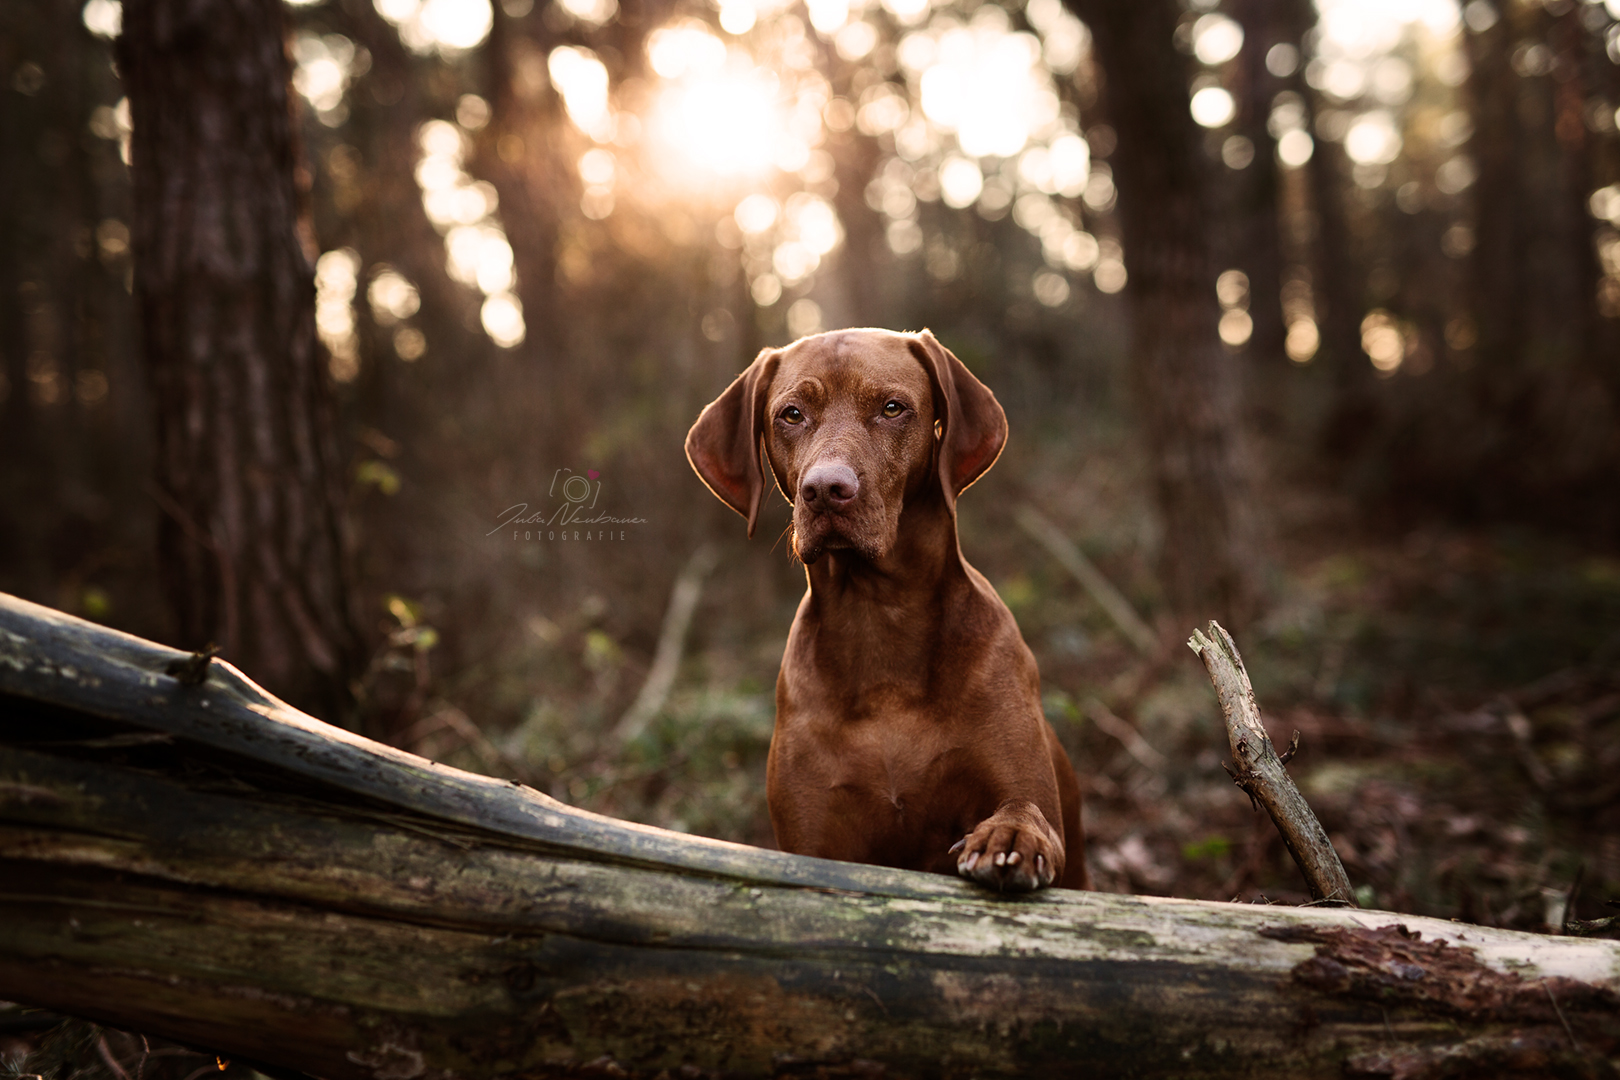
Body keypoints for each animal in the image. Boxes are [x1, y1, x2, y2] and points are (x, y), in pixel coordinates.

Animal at [683, 330, 1088, 893]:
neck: (880, 619)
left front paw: (1010, 836)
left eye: (893, 408)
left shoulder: (1027, 789)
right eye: (791, 414)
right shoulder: (812, 841)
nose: (825, 490)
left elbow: (1025, 809)